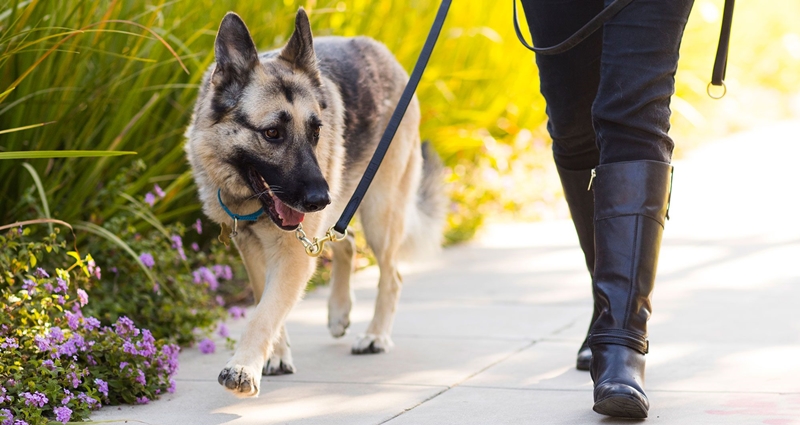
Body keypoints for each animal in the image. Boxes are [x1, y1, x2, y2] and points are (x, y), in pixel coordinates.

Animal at [185, 8, 446, 396]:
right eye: (272, 133)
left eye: (316, 131)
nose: (320, 199)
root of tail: (381, 51)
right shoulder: (253, 247)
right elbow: (265, 302)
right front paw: (275, 355)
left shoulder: (293, 253)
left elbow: (264, 313)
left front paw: (244, 367)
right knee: (345, 242)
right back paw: (339, 311)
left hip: (379, 213)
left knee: (392, 275)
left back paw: (376, 335)